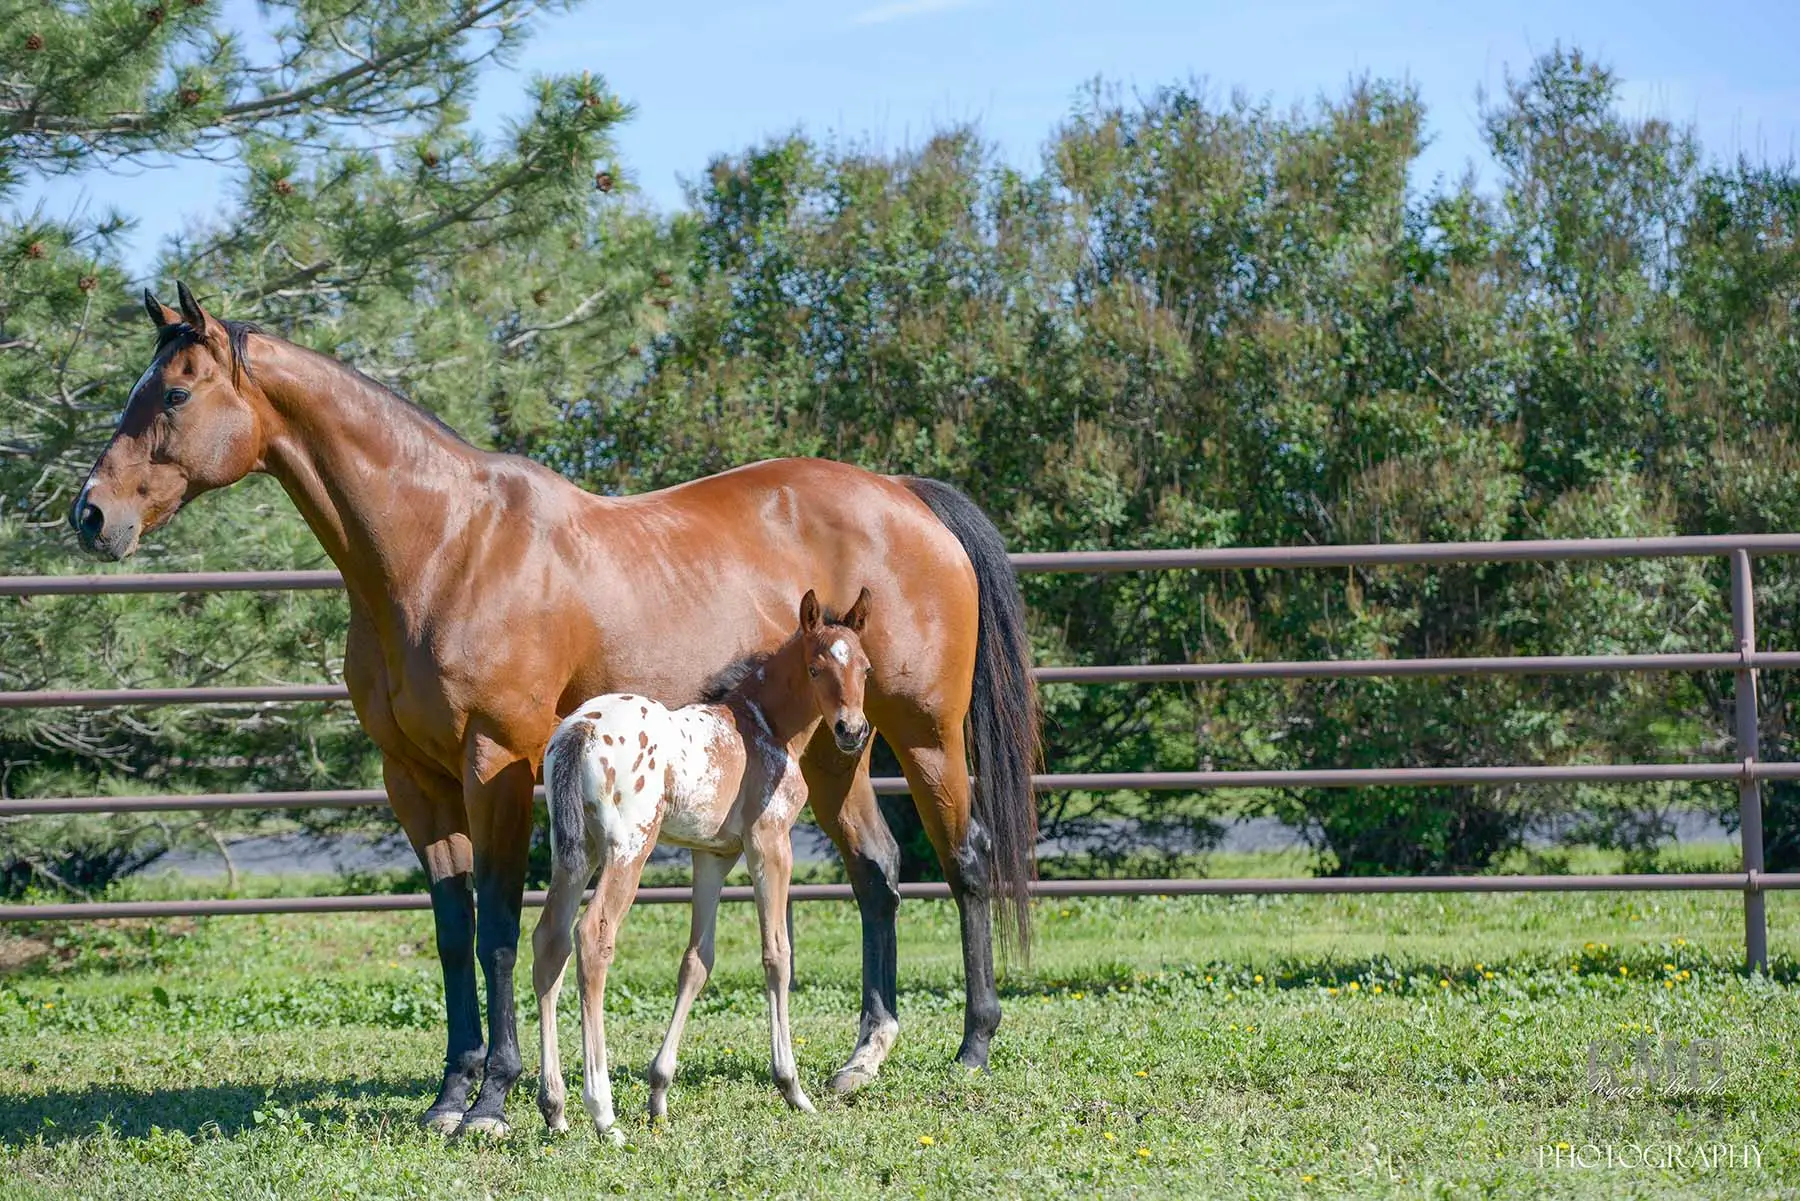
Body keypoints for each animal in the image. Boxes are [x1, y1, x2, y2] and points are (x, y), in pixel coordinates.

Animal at [535, 587, 874, 1141]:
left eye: (864, 667)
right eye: (815, 667)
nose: (851, 730)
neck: (764, 725)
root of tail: (581, 729)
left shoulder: (712, 856)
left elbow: (697, 961)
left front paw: (658, 1092)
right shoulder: (769, 842)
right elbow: (777, 954)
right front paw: (793, 1088)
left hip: (575, 852)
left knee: (550, 942)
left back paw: (556, 1108)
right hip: (629, 847)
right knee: (592, 937)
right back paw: (602, 1112)